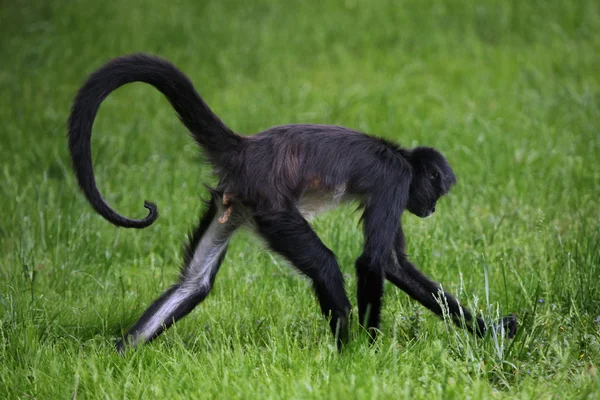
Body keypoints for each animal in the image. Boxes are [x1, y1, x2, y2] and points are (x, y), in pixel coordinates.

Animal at [67, 53, 516, 350]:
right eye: (438, 192)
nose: (433, 208)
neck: (401, 156)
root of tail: (247, 148)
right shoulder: (395, 181)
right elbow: (372, 262)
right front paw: (372, 354)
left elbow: (393, 264)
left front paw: (493, 330)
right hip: (270, 205)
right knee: (325, 264)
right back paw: (347, 353)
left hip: (234, 204)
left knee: (194, 284)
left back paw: (120, 354)